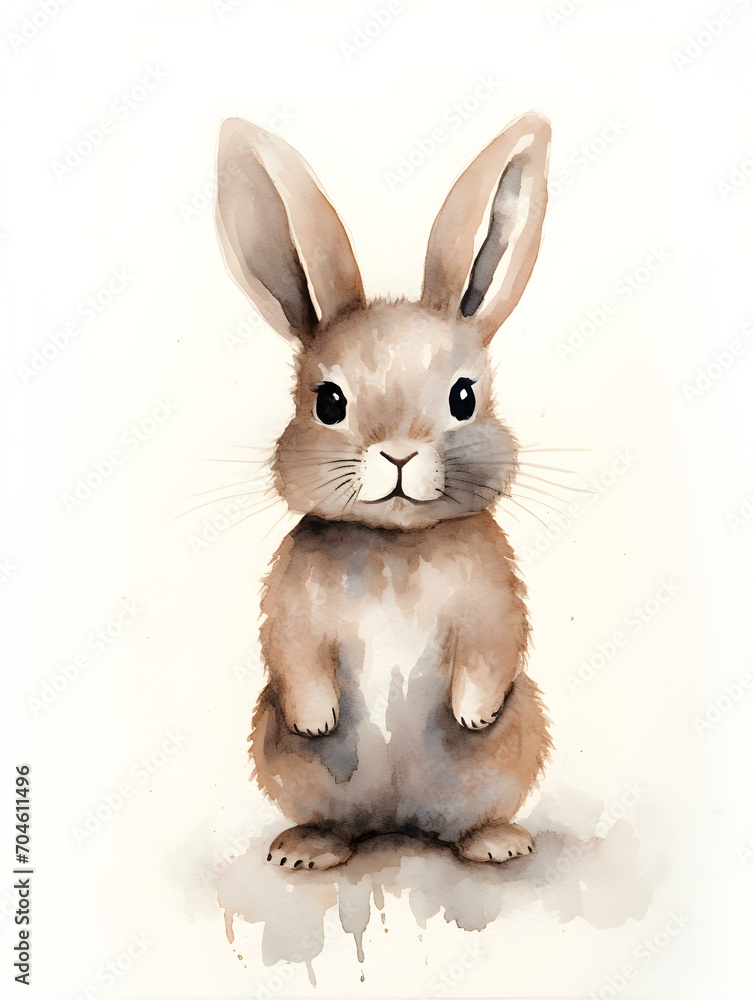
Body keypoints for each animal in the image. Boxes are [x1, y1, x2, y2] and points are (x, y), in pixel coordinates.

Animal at [215, 111, 553, 871]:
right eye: (329, 402)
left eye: (463, 397)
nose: (398, 453)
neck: (395, 547)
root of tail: (398, 823)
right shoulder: (291, 610)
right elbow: (293, 654)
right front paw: (317, 718)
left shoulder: (493, 600)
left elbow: (494, 646)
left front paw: (472, 712)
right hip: (285, 760)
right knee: (335, 821)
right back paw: (306, 847)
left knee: (466, 821)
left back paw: (496, 843)